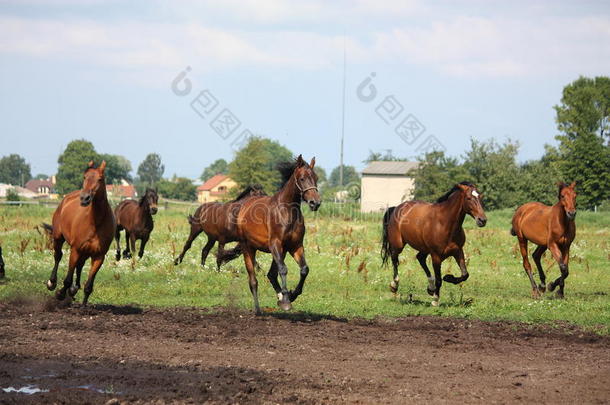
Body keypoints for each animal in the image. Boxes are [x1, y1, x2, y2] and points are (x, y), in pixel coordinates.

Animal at [44, 159, 115, 304]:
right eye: (84, 177)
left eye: (100, 179)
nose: (85, 198)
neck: (95, 222)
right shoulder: (75, 249)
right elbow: (67, 278)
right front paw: (60, 293)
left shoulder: (99, 256)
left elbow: (88, 285)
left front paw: (83, 304)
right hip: (58, 238)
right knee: (58, 256)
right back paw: (52, 283)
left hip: (85, 252)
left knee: (80, 266)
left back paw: (74, 289)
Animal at [233, 153, 320, 314]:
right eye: (302, 178)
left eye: (316, 178)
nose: (315, 203)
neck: (287, 211)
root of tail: (245, 205)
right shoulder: (275, 244)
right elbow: (283, 270)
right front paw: (286, 300)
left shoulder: (295, 246)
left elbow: (304, 269)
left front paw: (292, 295)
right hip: (249, 248)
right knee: (253, 280)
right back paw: (259, 309)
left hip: (280, 251)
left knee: (271, 274)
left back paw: (280, 297)